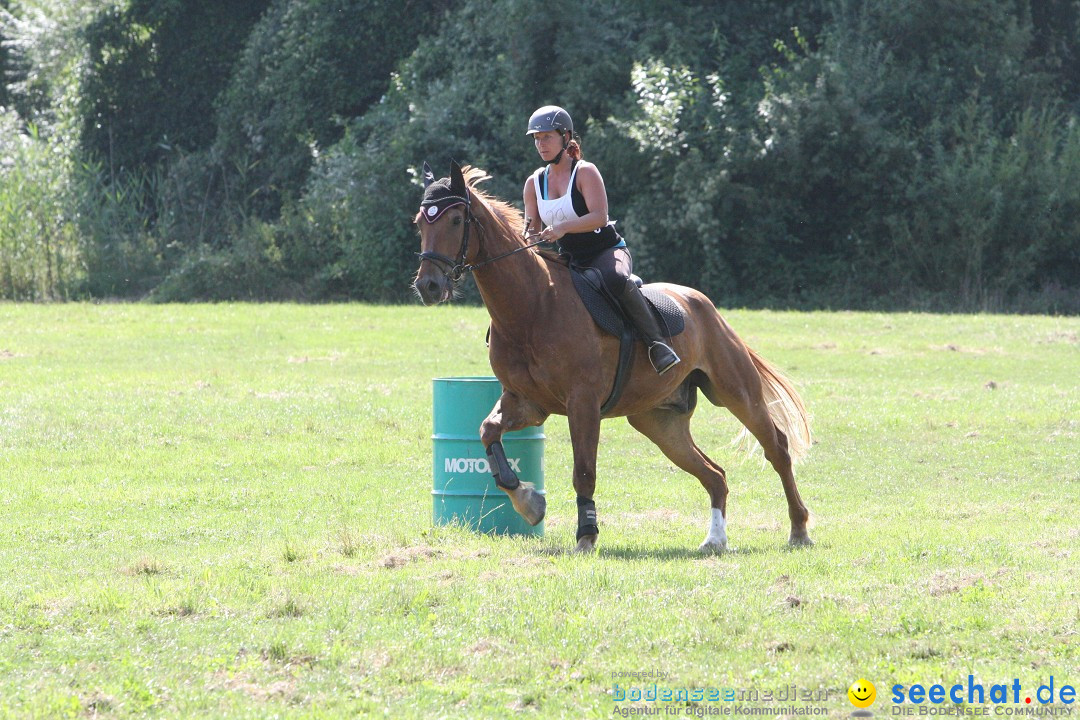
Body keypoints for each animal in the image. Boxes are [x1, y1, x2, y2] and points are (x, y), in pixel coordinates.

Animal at [412, 160, 812, 552]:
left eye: (455, 221)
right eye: (420, 223)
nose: (428, 285)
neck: (532, 306)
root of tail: (704, 305)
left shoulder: (583, 402)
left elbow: (584, 471)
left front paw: (586, 534)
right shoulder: (526, 402)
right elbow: (487, 432)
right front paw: (529, 502)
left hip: (736, 393)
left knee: (777, 449)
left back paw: (798, 530)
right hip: (658, 421)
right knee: (714, 475)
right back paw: (715, 539)